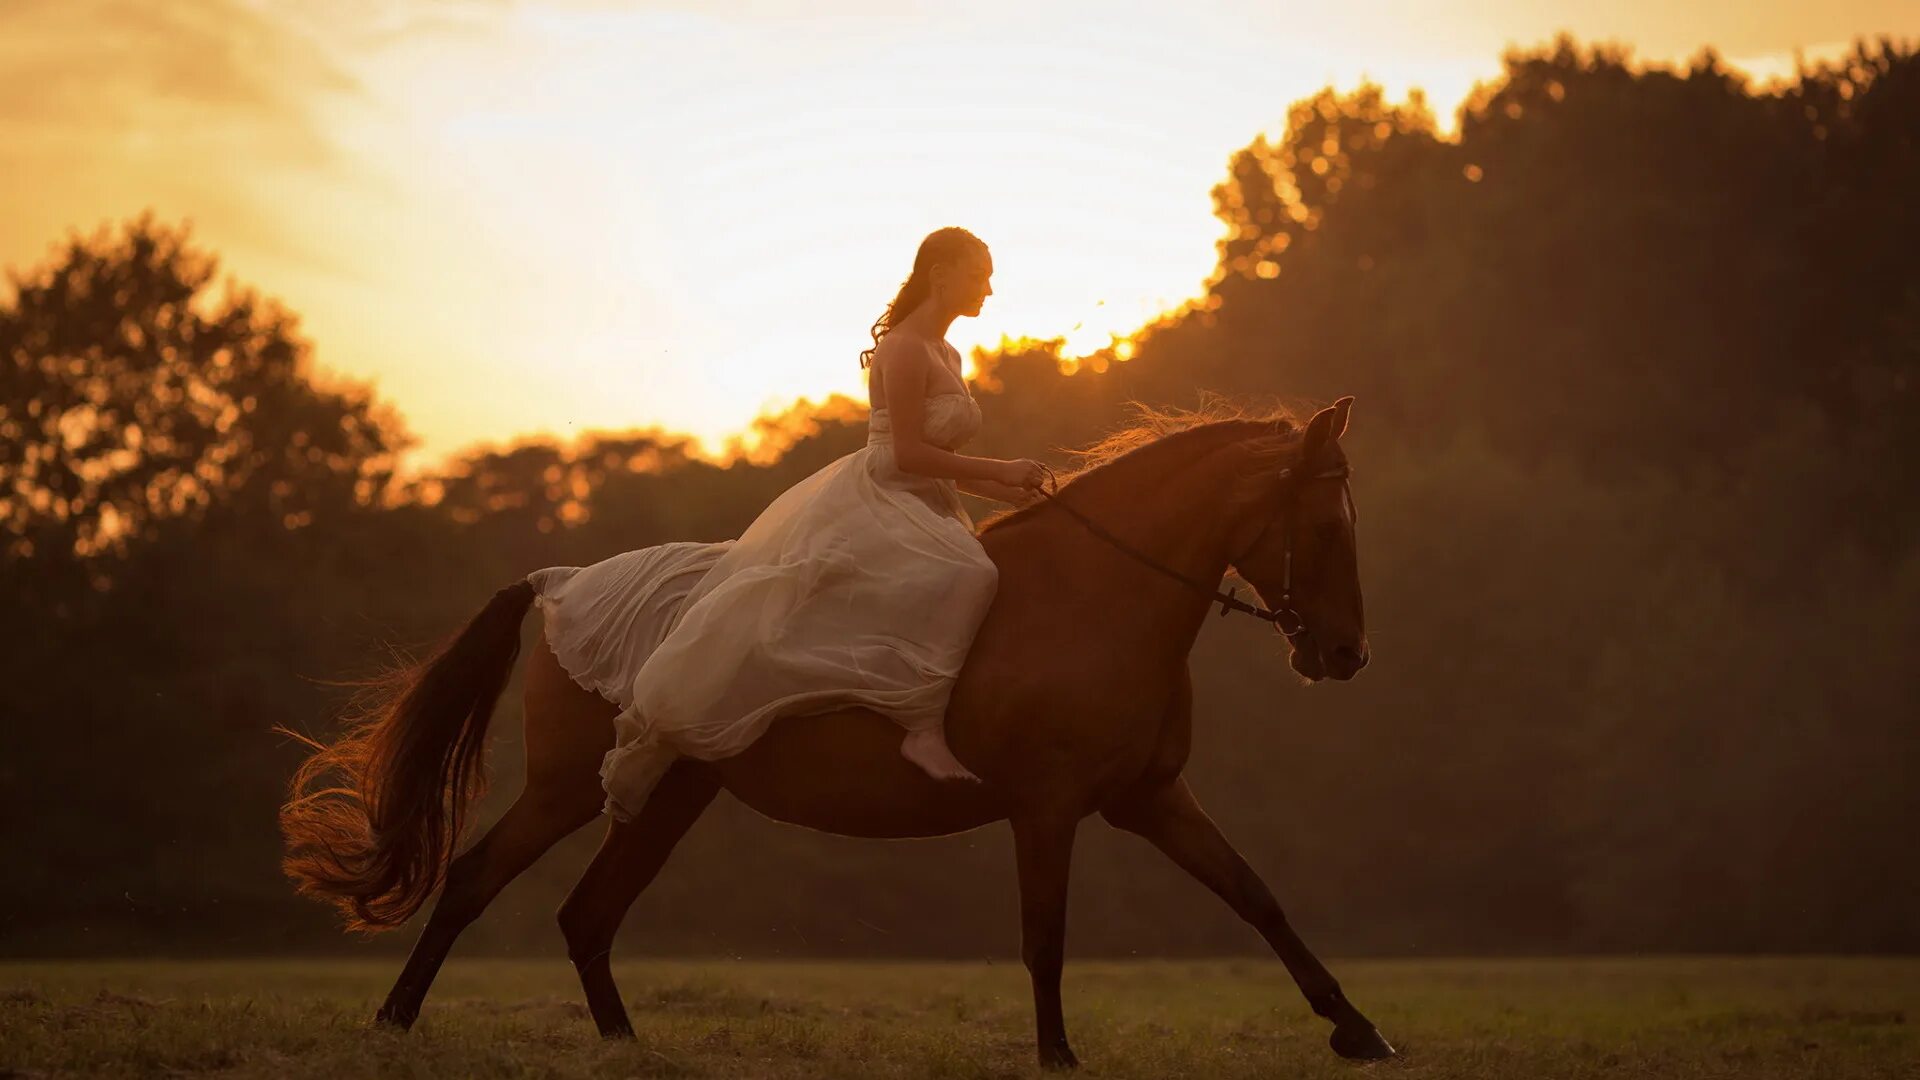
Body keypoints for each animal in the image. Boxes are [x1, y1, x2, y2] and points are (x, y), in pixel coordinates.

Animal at [280, 393, 1397, 1060]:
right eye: (1325, 523)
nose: (1345, 655)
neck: (1097, 595)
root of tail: (559, 582)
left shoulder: (1150, 797)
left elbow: (1257, 899)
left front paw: (1357, 1029)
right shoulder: (1048, 809)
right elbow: (1044, 939)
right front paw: (1058, 1057)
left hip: (670, 796)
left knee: (586, 916)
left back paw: (624, 1047)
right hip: (567, 790)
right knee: (478, 879)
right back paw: (394, 1021)